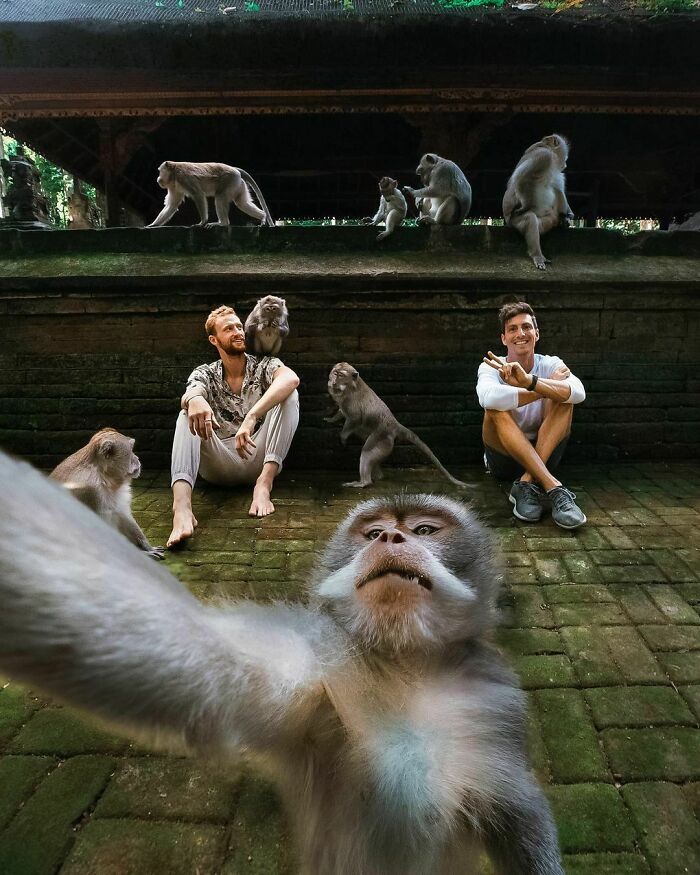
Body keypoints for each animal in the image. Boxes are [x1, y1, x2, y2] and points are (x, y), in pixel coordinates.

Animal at [0, 451, 565, 875]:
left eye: (425, 530)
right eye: (371, 533)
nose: (390, 538)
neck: (408, 667)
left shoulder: (494, 697)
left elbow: (515, 811)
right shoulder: (319, 660)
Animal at [50, 428, 165, 560]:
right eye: (130, 450)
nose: (137, 458)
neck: (102, 474)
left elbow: (122, 513)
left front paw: (147, 547)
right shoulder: (91, 492)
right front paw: (142, 554)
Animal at [146, 161, 274, 229]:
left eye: (160, 171)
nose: (158, 178)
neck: (174, 174)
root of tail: (235, 169)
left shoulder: (184, 177)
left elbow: (198, 194)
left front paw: (202, 222)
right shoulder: (173, 186)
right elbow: (171, 206)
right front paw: (154, 224)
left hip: (230, 180)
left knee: (220, 197)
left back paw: (223, 223)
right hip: (238, 183)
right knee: (241, 203)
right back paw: (262, 216)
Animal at [326, 363, 470, 489]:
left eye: (340, 375)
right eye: (335, 373)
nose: (333, 382)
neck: (349, 387)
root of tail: (394, 424)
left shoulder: (351, 403)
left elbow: (355, 418)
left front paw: (343, 436)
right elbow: (341, 412)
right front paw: (330, 419)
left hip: (381, 438)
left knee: (367, 452)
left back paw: (364, 482)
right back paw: (378, 476)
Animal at [503, 134, 574, 271]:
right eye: (565, 156)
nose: (566, 164)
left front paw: (569, 214)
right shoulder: (544, 156)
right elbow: (521, 178)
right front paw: (525, 207)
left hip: (548, 219)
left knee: (557, 185)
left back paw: (563, 219)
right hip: (514, 221)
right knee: (530, 219)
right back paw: (537, 255)